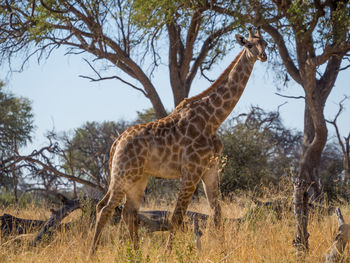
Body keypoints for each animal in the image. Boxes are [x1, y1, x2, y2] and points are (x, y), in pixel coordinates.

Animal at [89, 27, 268, 256]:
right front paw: (168, 253)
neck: (213, 119)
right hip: (123, 174)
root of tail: (116, 142)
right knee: (105, 208)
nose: (263, 56)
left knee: (128, 212)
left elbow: (217, 215)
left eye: (265, 43)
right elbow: (177, 217)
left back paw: (136, 254)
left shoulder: (210, 169)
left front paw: (224, 252)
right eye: (249, 44)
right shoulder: (191, 171)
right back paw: (91, 253)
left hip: (139, 177)